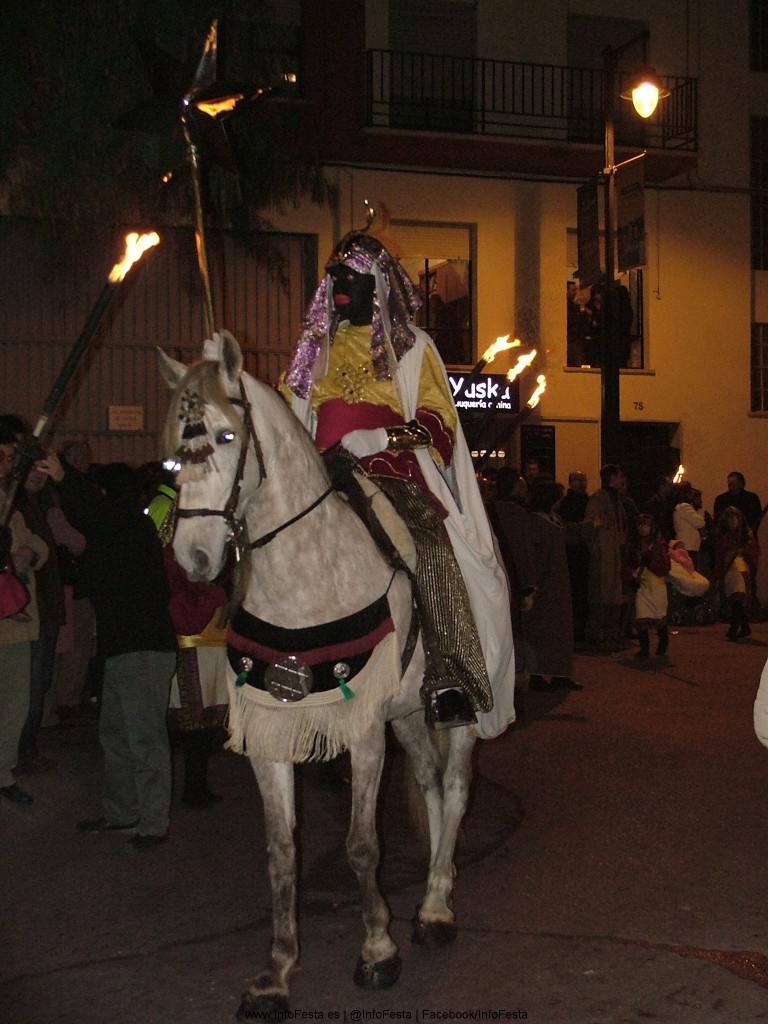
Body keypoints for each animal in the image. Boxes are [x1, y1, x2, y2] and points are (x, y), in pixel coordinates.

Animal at [159, 333, 479, 1015]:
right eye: (174, 446)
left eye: (226, 435)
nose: (194, 558)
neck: (306, 579)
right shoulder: (272, 731)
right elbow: (282, 852)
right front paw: (276, 972)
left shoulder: (362, 731)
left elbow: (361, 845)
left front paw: (379, 951)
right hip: (407, 714)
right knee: (432, 785)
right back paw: (433, 891)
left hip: (459, 704)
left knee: (458, 783)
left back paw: (437, 908)